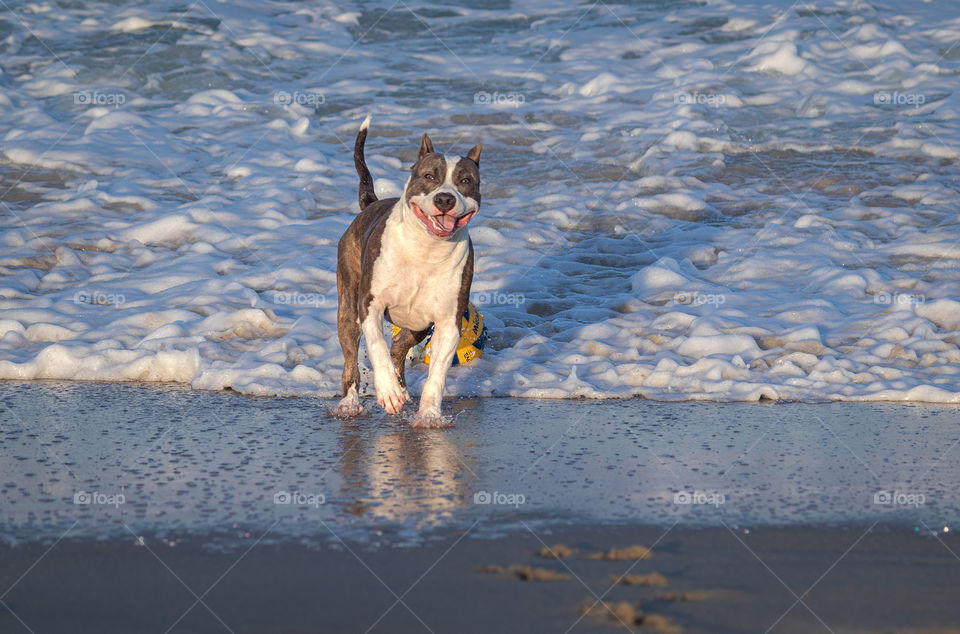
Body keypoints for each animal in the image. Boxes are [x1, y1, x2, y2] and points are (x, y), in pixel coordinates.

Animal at [332, 116, 480, 428]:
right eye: (429, 176)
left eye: (465, 181)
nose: (445, 199)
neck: (426, 249)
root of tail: (372, 203)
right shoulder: (370, 306)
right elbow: (376, 346)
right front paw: (387, 391)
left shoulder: (448, 322)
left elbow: (437, 372)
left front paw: (429, 414)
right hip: (348, 307)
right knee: (352, 357)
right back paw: (351, 403)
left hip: (419, 324)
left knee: (399, 347)